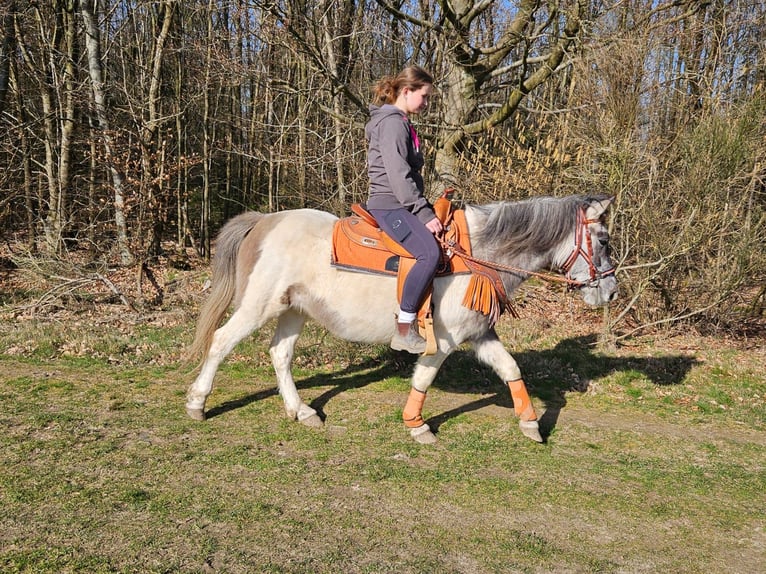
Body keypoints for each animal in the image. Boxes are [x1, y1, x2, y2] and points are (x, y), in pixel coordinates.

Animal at [186, 194, 618, 444]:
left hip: (294, 311)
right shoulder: (443, 340)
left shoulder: (481, 334)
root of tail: (264, 221)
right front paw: (417, 424)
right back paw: (197, 403)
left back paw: (302, 410)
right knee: (221, 341)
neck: (478, 254)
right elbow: (424, 378)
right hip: (259, 306)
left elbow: (511, 370)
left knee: (280, 355)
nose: (611, 292)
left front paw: (530, 424)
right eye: (604, 240)